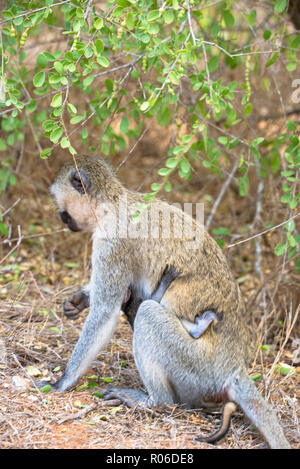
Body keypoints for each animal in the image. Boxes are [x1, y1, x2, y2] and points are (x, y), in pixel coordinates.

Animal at [44, 155, 290, 448]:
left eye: (61, 204)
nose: (61, 217)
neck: (113, 204)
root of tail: (234, 365)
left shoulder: (111, 244)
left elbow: (105, 313)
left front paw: (62, 382)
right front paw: (80, 299)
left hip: (197, 367)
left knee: (148, 314)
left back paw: (154, 401)